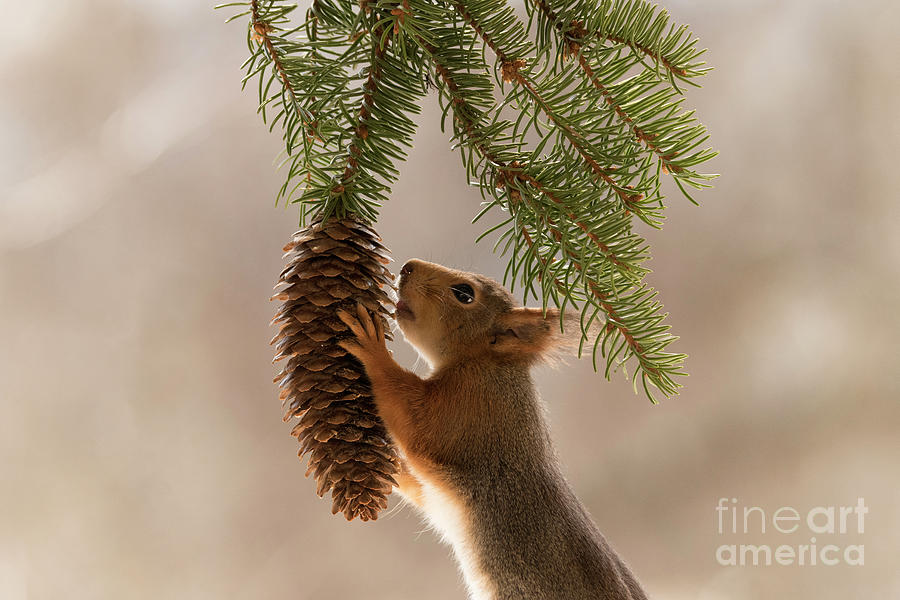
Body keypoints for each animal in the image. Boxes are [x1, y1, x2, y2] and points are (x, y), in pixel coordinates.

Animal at [338, 258, 648, 600]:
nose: (407, 267)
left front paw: (372, 346)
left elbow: (417, 423)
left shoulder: (470, 405)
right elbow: (419, 486)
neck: (486, 362)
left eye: (464, 293)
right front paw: (389, 465)